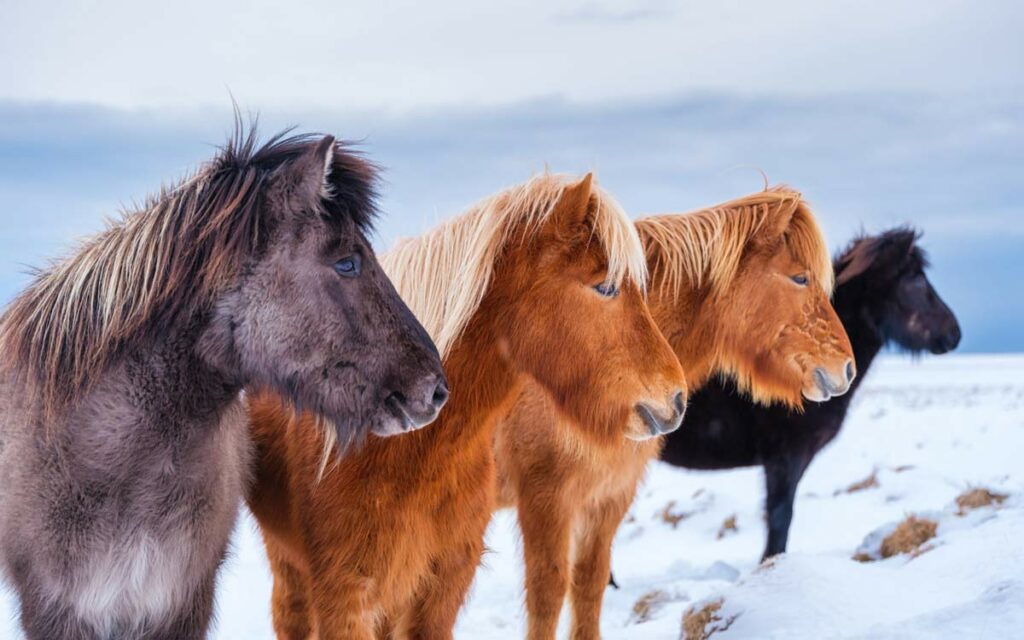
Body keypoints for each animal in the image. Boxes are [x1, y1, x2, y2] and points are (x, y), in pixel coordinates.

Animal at [495, 186, 856, 638]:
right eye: (800, 277)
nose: (846, 367)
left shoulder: (608, 497)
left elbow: (589, 585)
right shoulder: (546, 499)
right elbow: (547, 594)